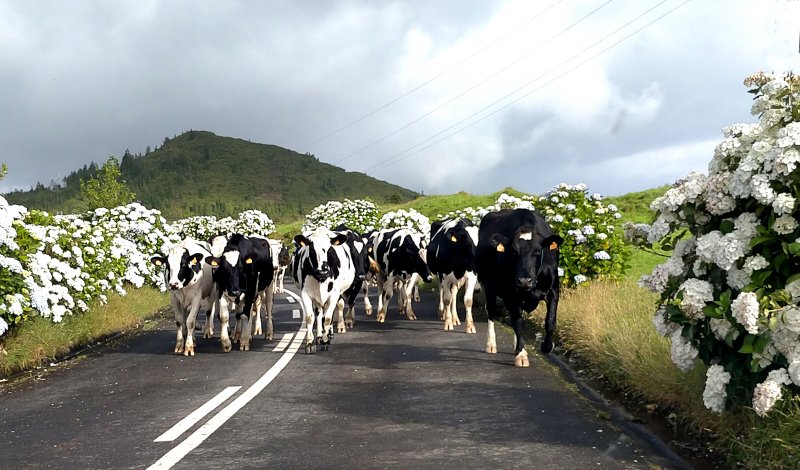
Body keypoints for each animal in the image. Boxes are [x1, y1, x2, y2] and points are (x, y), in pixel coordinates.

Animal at [476, 208, 564, 368]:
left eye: (537, 251)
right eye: (513, 251)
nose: (524, 281)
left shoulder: (554, 289)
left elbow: (550, 321)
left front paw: (547, 346)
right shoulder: (510, 294)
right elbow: (518, 323)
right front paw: (521, 354)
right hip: (488, 285)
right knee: (491, 311)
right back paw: (491, 344)